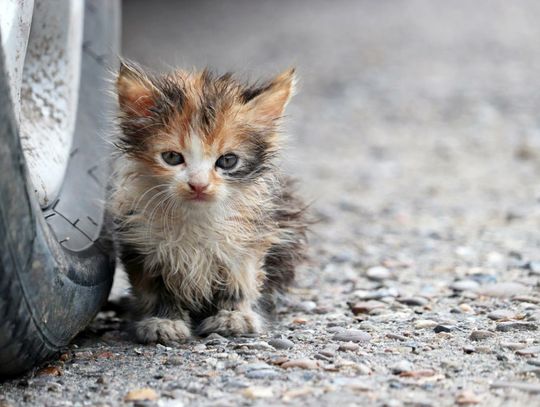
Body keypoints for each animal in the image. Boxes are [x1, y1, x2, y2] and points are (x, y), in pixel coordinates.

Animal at [110, 61, 308, 344]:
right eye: (172, 157)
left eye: (227, 161)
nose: (198, 185)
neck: (195, 216)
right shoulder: (142, 243)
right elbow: (155, 289)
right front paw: (163, 321)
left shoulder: (249, 240)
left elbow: (240, 281)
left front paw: (234, 317)